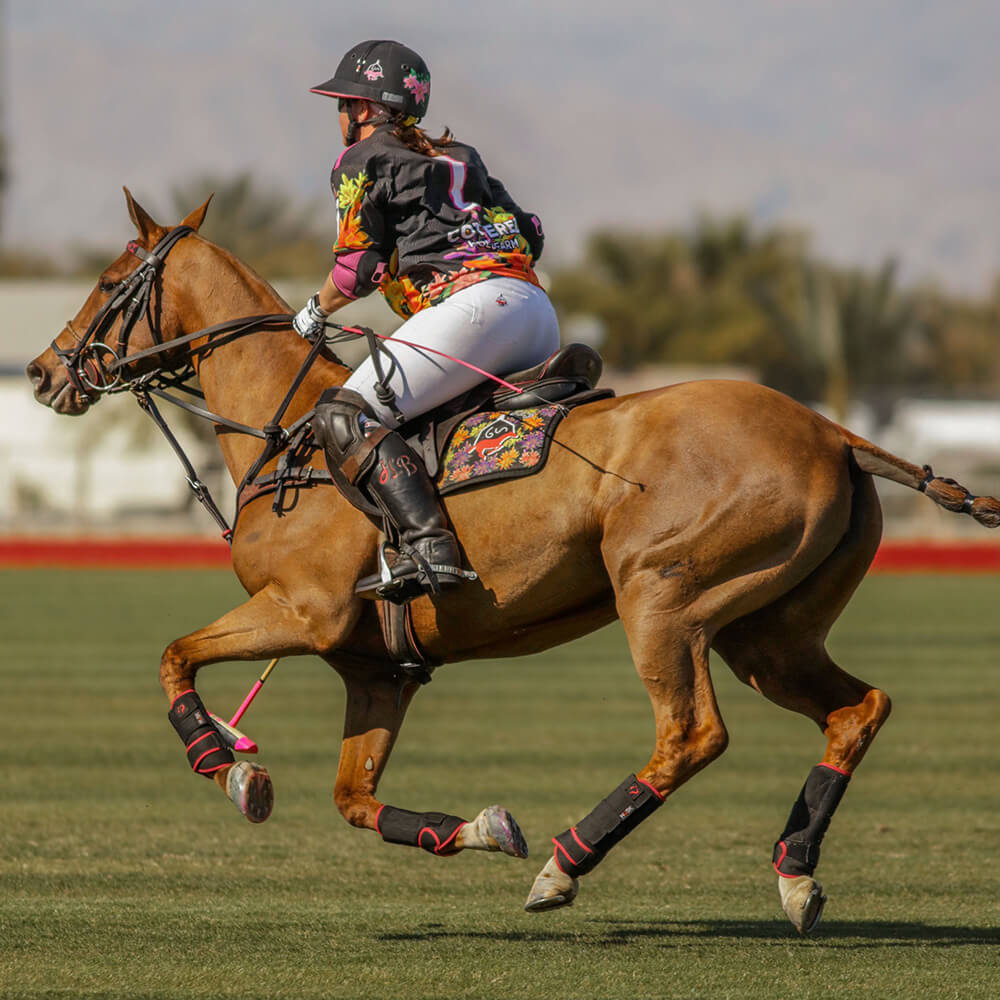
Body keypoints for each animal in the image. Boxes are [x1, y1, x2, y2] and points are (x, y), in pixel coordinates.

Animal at [25, 191, 1000, 932]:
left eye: (109, 282)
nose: (42, 372)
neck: (288, 432)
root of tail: (834, 432)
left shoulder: (304, 612)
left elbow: (173, 657)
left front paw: (228, 766)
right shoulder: (377, 669)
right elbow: (354, 798)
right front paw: (482, 828)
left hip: (663, 597)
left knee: (692, 734)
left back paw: (566, 865)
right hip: (766, 630)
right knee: (857, 709)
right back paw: (794, 873)